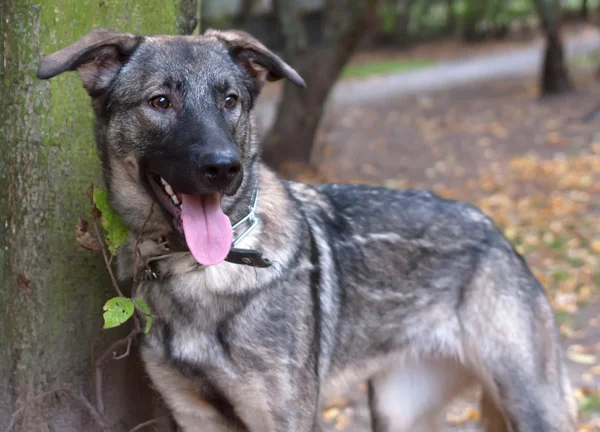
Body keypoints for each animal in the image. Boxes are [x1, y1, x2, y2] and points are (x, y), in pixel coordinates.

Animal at [37, 28, 576, 430]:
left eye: (230, 100)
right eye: (161, 101)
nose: (224, 168)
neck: (202, 272)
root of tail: (496, 232)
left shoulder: (288, 417)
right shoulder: (196, 415)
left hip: (531, 405)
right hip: (398, 411)